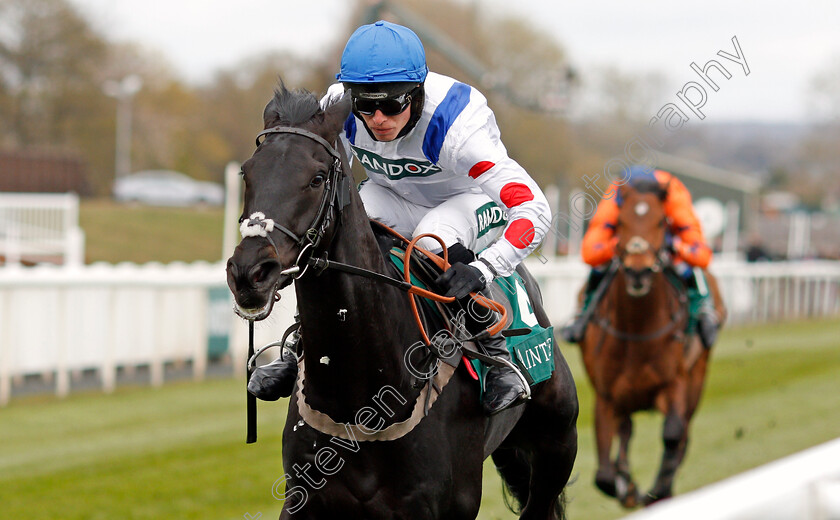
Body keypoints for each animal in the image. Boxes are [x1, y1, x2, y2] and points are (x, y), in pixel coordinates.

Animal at [223, 83, 576, 516]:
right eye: (247, 172)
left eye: (317, 178)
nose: (249, 273)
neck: (360, 393)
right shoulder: (303, 497)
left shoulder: (445, 503)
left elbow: (528, 200)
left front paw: (467, 278)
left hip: (557, 447)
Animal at [580, 181, 724, 506]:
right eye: (620, 222)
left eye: (660, 221)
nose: (638, 270)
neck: (637, 331)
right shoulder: (606, 397)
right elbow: (603, 476)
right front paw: (627, 486)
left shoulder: (675, 383)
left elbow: (673, 434)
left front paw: (658, 490)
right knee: (626, 431)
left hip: (698, 377)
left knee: (683, 435)